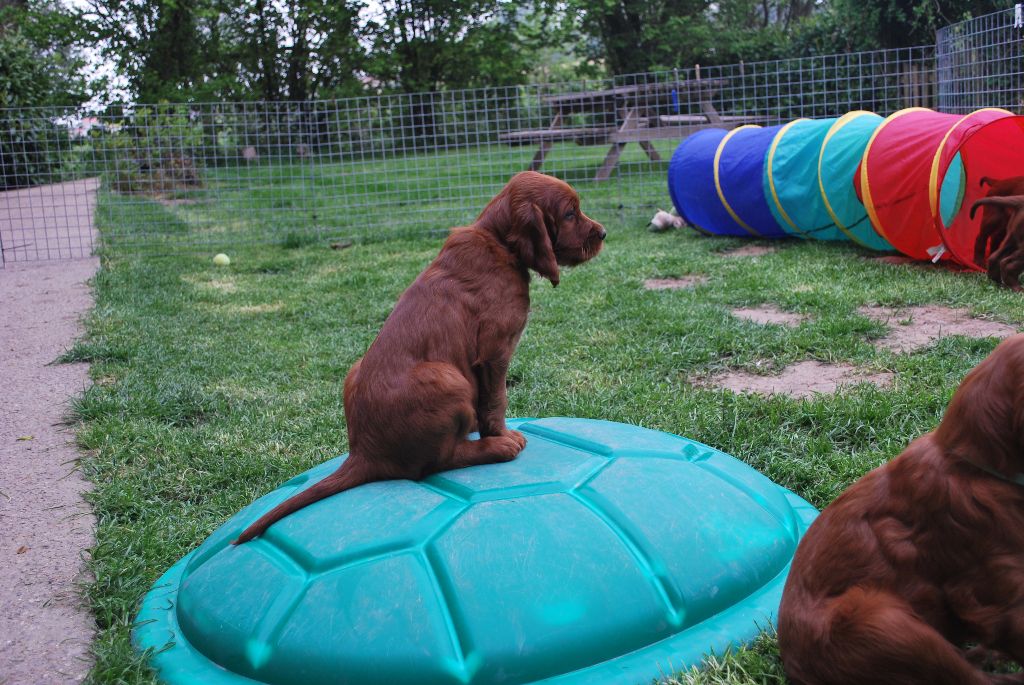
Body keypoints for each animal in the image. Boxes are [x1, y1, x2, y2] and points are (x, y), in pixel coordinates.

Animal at [235, 167, 602, 540]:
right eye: (570, 214)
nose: (603, 233)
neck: (498, 241)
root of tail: (364, 454)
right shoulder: (495, 350)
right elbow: (496, 400)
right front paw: (500, 435)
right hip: (447, 378)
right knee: (434, 463)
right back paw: (493, 449)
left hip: (359, 369)